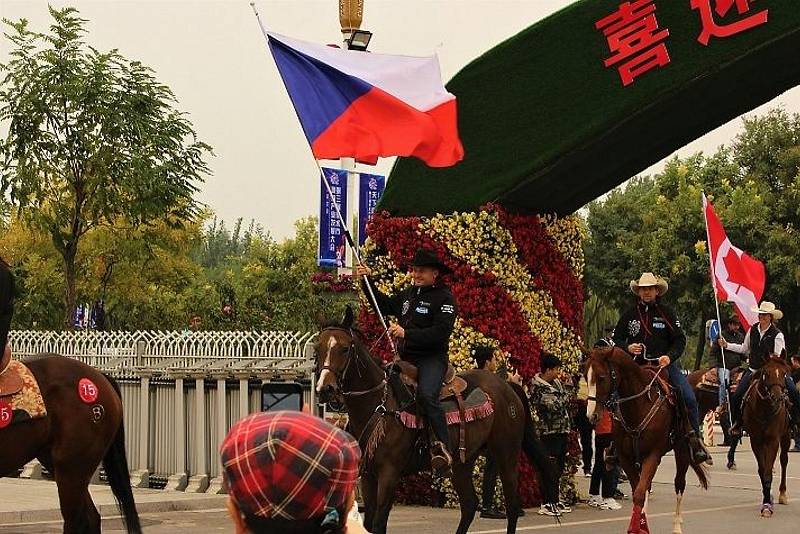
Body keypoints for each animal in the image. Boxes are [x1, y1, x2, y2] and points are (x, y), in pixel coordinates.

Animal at [316, 308, 540, 534]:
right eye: (318, 348)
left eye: (345, 349)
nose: (325, 389)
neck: (379, 405)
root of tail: (507, 387)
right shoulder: (369, 475)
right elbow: (369, 522)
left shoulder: (389, 473)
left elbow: (379, 523)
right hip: (463, 461)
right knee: (469, 504)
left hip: (506, 454)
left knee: (511, 506)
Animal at [584, 348, 708, 534]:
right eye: (585, 376)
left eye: (601, 377)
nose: (591, 416)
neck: (639, 404)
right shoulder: (626, 458)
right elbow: (639, 491)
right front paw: (640, 525)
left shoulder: (653, 455)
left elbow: (640, 493)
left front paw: (639, 527)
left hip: (682, 451)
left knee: (679, 484)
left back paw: (677, 525)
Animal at [744, 360, 792, 520]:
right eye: (766, 373)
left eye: (784, 373)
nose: (777, 398)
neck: (765, 409)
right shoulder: (756, 440)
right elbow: (763, 469)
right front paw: (766, 500)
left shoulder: (773, 440)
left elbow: (768, 472)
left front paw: (767, 506)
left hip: (786, 436)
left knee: (784, 460)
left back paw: (782, 493)